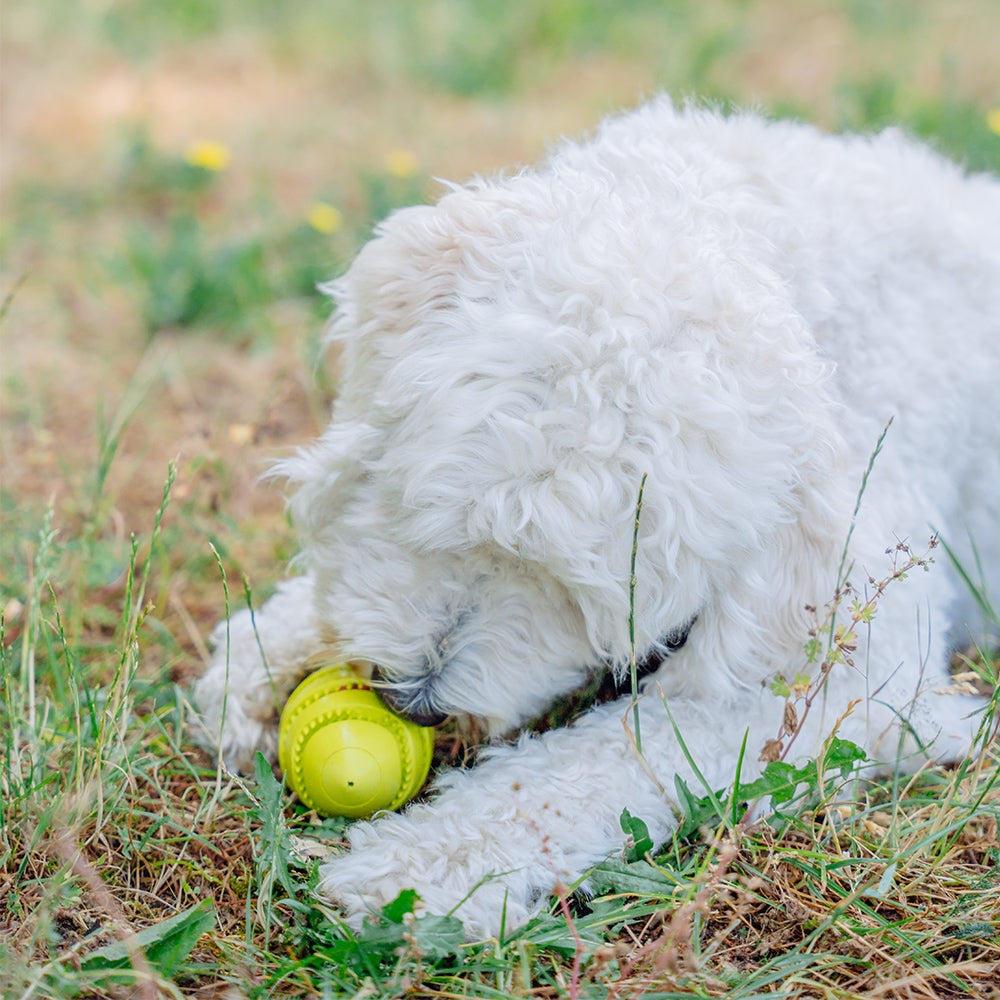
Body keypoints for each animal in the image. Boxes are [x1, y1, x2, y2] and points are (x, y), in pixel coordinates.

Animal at [191, 99, 996, 936]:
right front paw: (264, 656)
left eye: (580, 606)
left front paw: (420, 866)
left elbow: (587, 767)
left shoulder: (841, 684)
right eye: (453, 520)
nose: (413, 701)